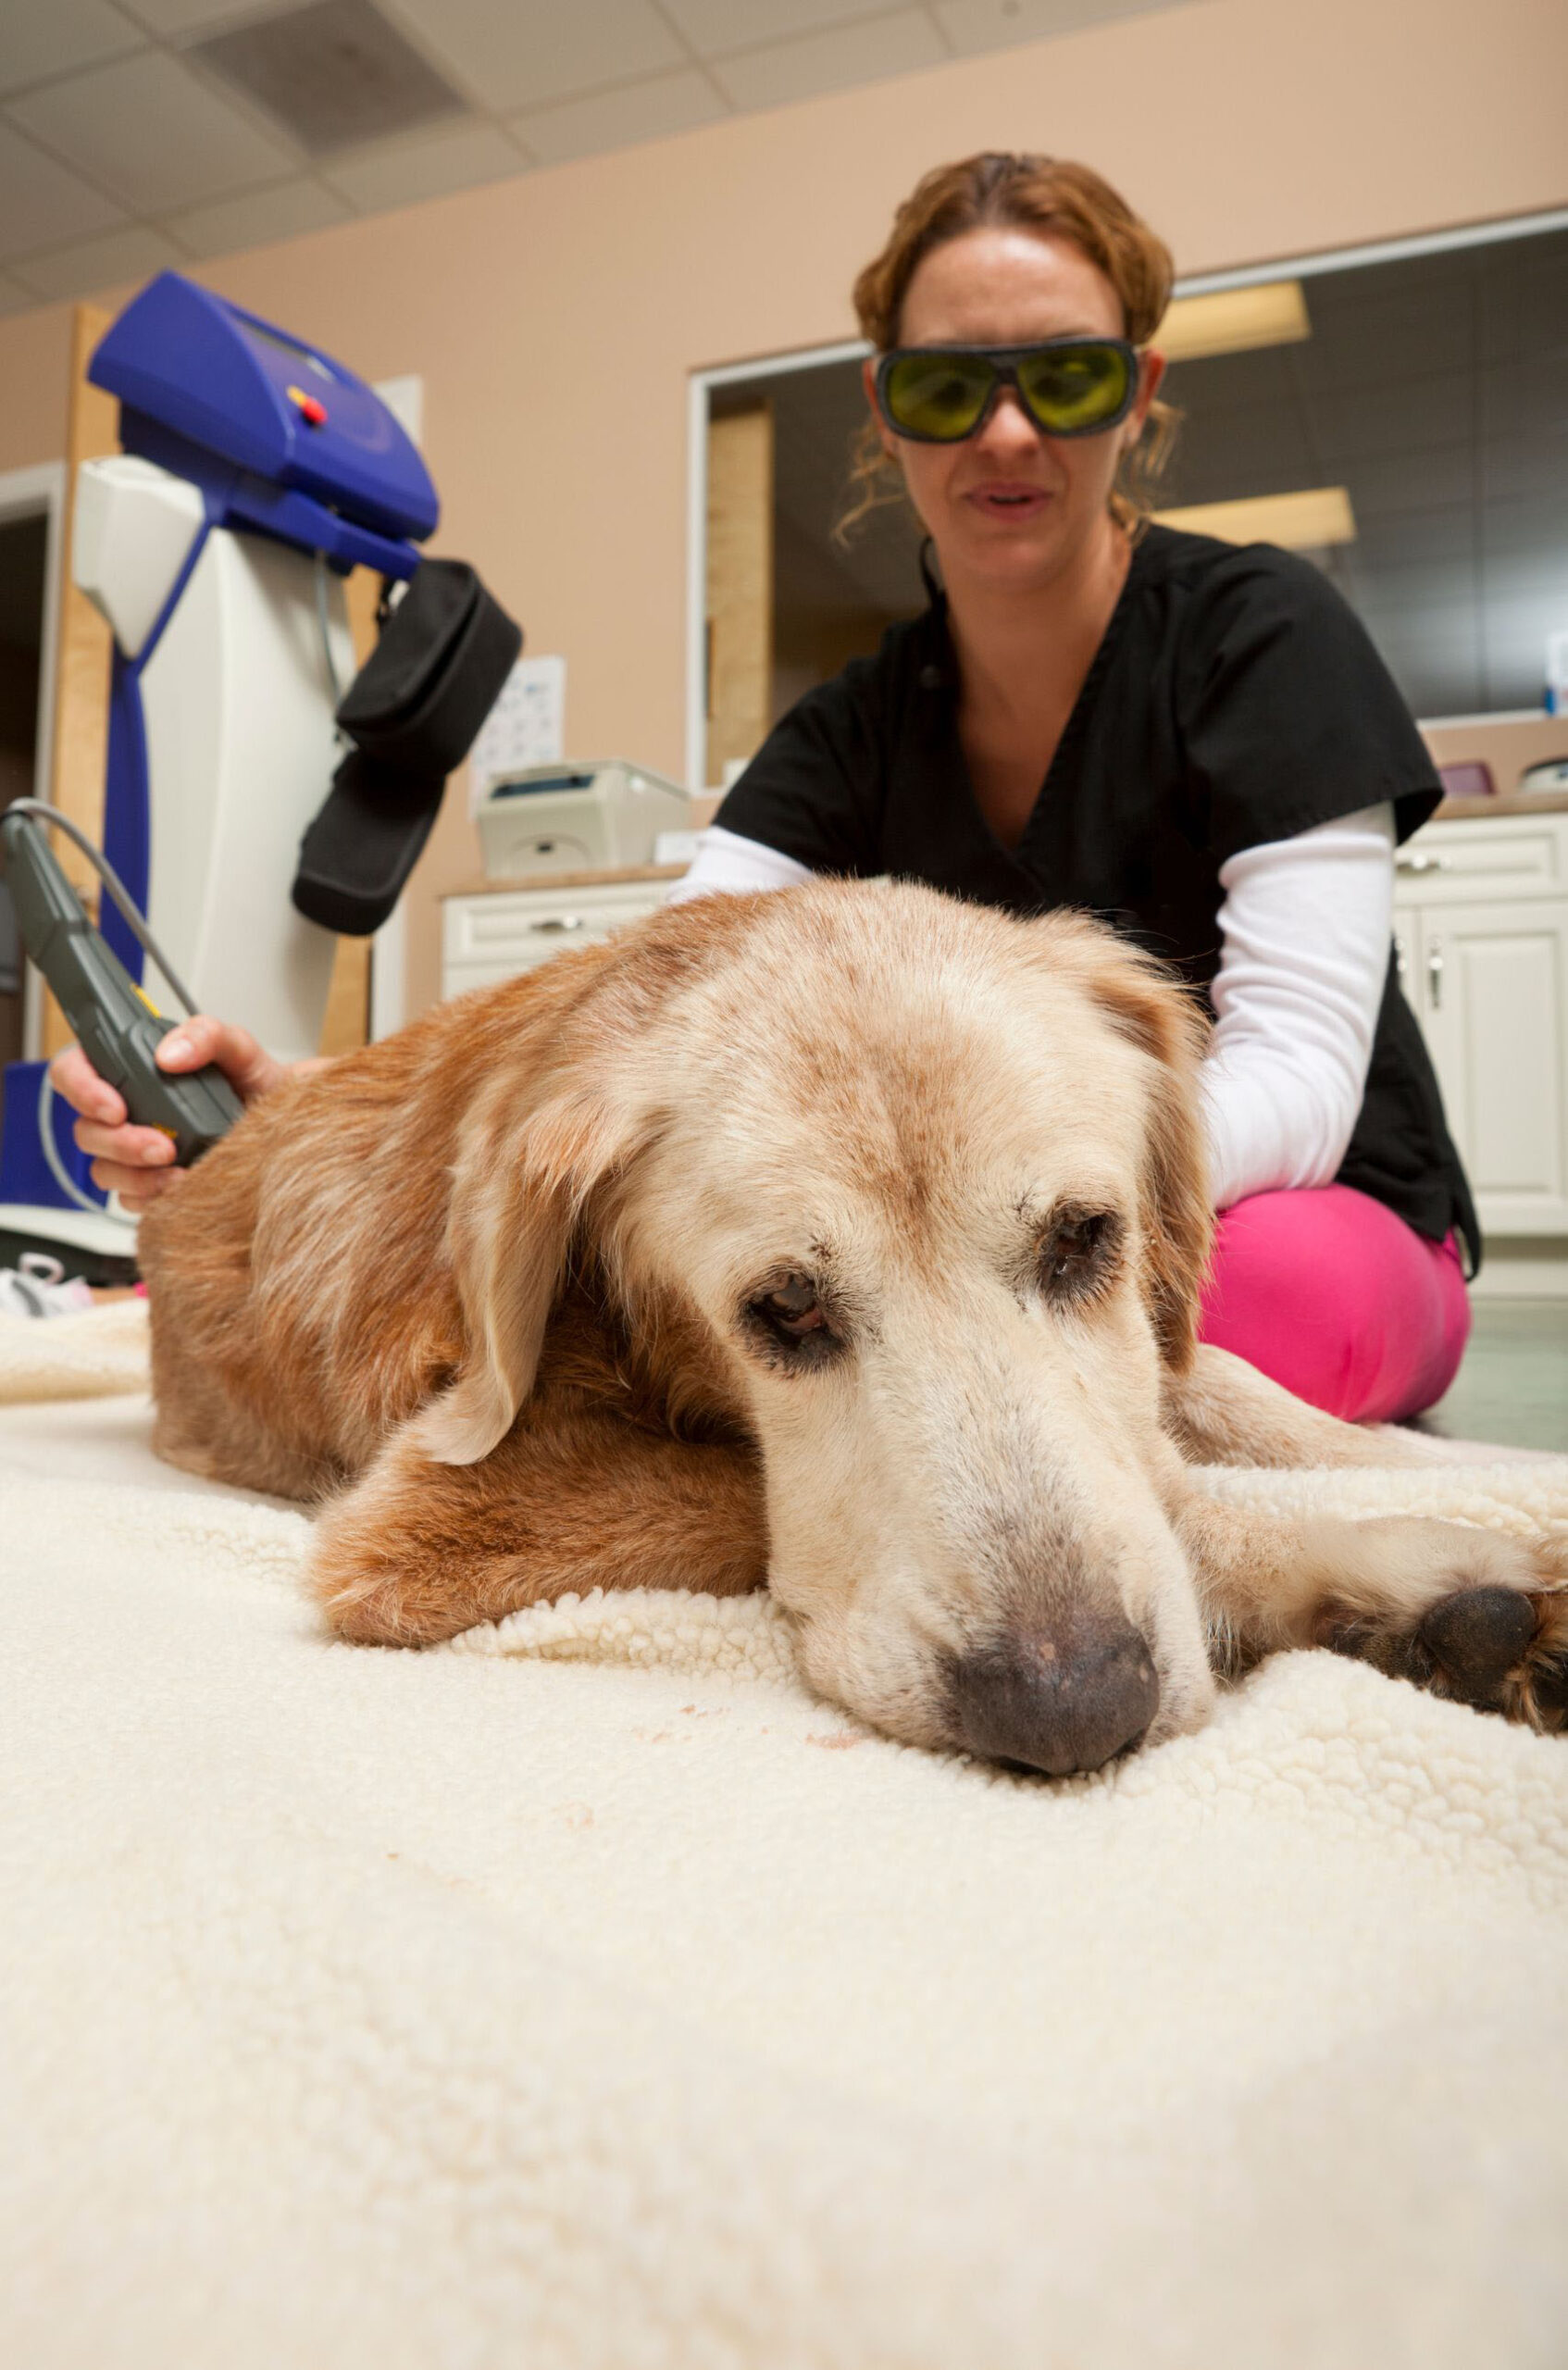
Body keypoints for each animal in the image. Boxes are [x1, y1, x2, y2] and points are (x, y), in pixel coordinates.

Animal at [141, 881, 1562, 1772]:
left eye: (1082, 1238)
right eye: (783, 1306)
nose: (1069, 1710)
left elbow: (1224, 1400)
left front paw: (1490, 1486)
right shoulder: (433, 1515)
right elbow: (1173, 1497)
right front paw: (1417, 1580)